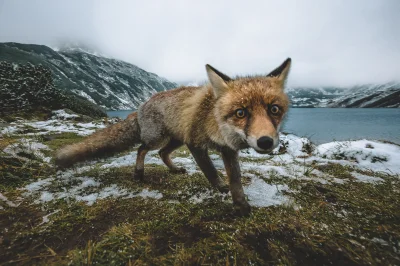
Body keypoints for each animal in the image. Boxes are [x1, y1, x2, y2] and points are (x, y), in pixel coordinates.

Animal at [55, 58, 290, 216]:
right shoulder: (195, 144)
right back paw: (139, 173)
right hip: (159, 138)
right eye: (241, 112)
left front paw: (240, 204)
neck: (216, 122)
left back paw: (174, 169)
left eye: (274, 110)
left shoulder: (228, 149)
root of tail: (140, 107)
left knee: (161, 153)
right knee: (142, 149)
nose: (266, 142)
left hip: (176, 140)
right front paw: (220, 188)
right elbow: (211, 171)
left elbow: (236, 180)